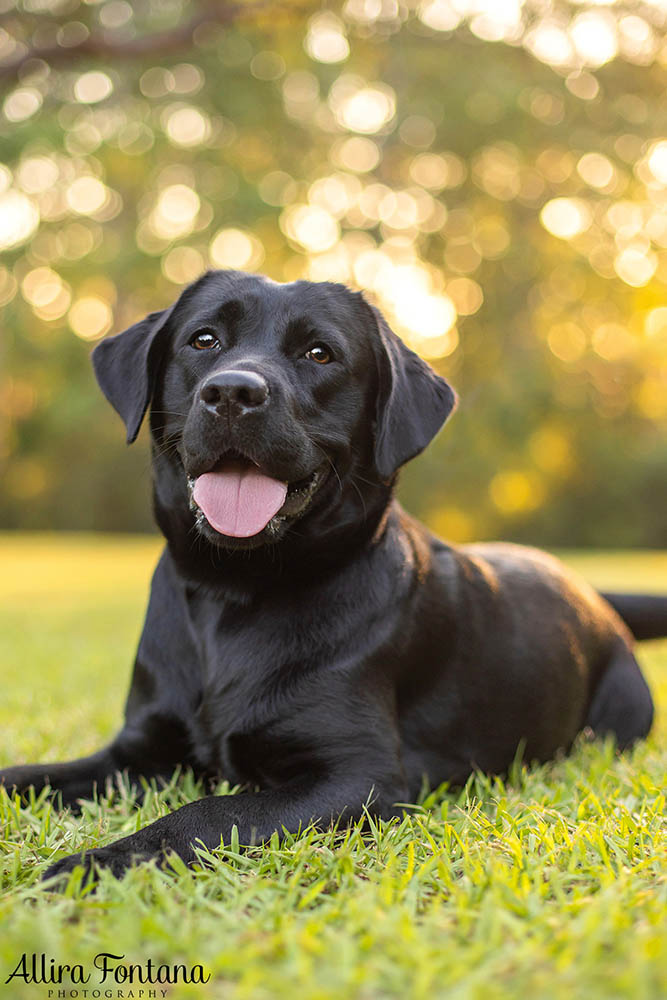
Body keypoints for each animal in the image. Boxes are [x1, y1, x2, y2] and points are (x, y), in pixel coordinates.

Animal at [2, 268, 664, 884]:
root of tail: (592, 593)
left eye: (320, 353)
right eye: (203, 340)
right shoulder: (138, 750)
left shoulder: (357, 776)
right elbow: (26, 775)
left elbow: (206, 812)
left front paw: (92, 864)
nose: (232, 392)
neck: (235, 591)